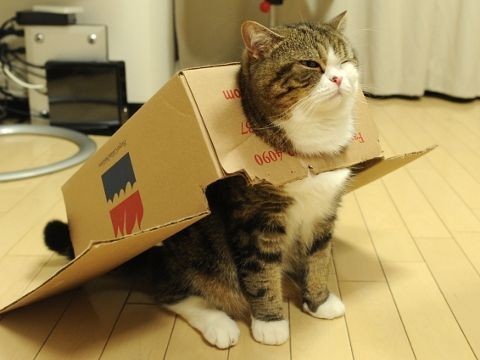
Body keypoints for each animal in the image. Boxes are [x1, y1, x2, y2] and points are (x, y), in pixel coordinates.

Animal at [45, 11, 358, 348]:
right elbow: (261, 271)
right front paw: (270, 323)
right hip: (203, 256)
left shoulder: (324, 212)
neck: (315, 140)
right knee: (174, 293)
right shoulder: (255, 220)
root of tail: (158, 257)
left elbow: (319, 259)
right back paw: (219, 325)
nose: (339, 79)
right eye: (311, 64)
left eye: (345, 60)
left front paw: (319, 301)